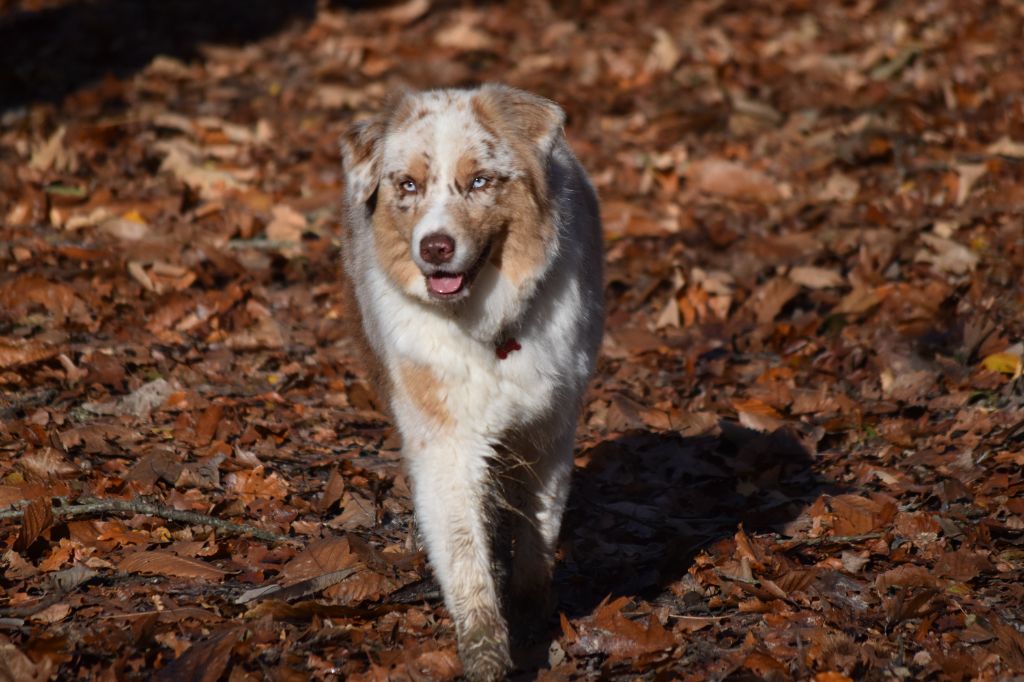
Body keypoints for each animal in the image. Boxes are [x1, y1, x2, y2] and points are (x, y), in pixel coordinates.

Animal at [339, 84, 602, 679]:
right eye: (408, 185)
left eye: (479, 181)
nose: (434, 247)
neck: (489, 327)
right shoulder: (445, 443)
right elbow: (463, 553)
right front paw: (486, 652)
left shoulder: (550, 428)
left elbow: (538, 528)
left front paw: (532, 611)